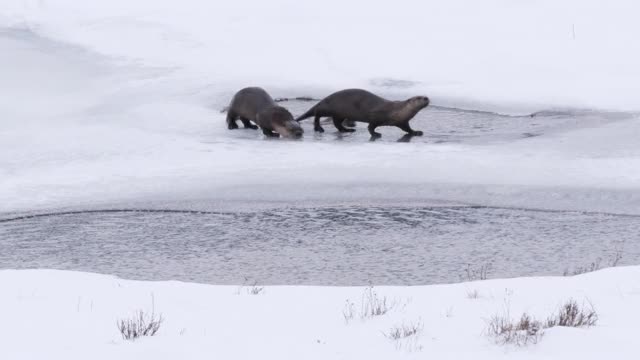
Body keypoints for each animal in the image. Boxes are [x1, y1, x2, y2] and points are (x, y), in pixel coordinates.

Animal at [296, 89, 430, 139]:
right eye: (418, 97)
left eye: (424, 96)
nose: (426, 98)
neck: (396, 111)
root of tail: (324, 99)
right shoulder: (376, 116)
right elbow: (370, 127)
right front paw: (376, 134)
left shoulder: (402, 121)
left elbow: (407, 129)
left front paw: (416, 132)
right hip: (328, 107)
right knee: (317, 113)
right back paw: (319, 128)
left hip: (340, 113)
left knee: (336, 123)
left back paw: (347, 130)